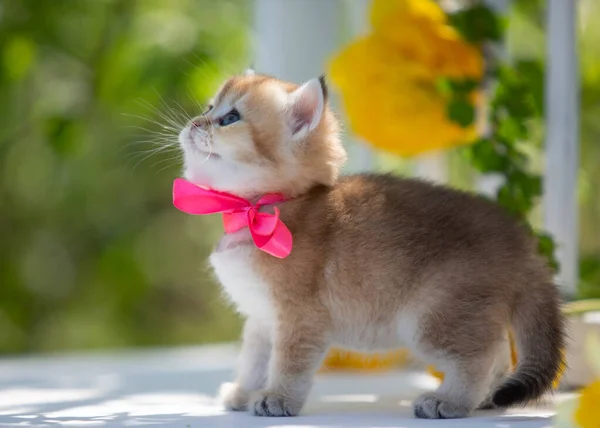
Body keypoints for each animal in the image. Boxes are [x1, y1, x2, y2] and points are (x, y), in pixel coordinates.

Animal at [176, 70, 564, 418]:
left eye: (230, 118)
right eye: (209, 107)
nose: (195, 123)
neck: (256, 209)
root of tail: (521, 240)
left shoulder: (300, 316)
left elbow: (288, 362)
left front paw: (278, 397)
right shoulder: (261, 317)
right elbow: (254, 359)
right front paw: (243, 391)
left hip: (433, 317)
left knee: (477, 356)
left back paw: (450, 401)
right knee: (496, 350)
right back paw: (483, 398)